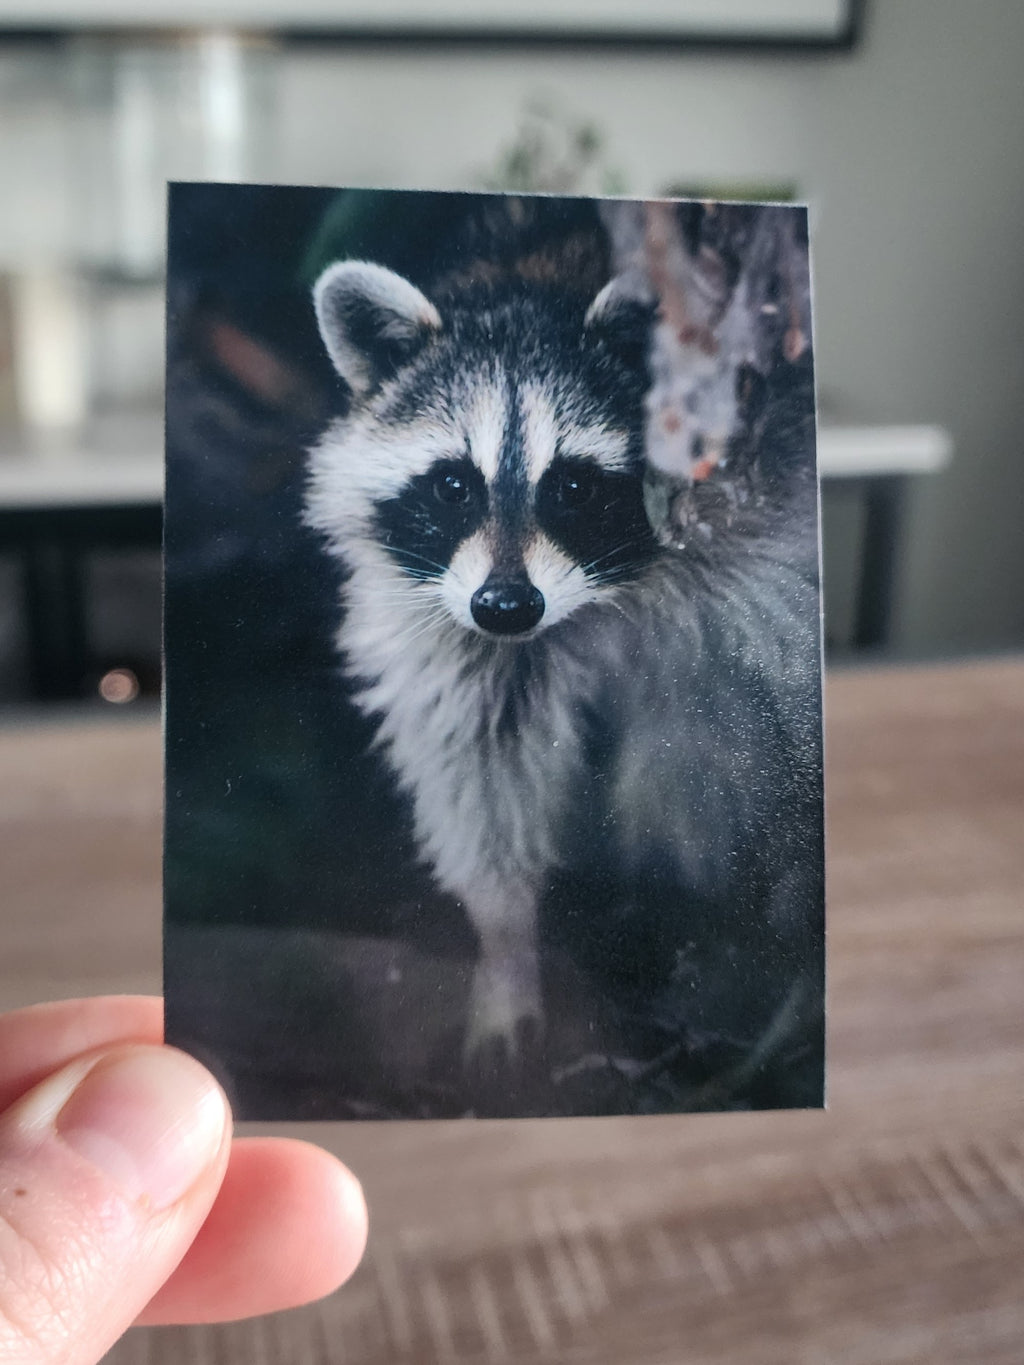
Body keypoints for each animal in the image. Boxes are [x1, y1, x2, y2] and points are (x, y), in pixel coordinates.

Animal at [305, 254, 823, 1100]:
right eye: (453, 485)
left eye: (574, 486)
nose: (507, 607)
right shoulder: (448, 622)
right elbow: (479, 762)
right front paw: (506, 946)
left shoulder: (764, 552)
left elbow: (750, 738)